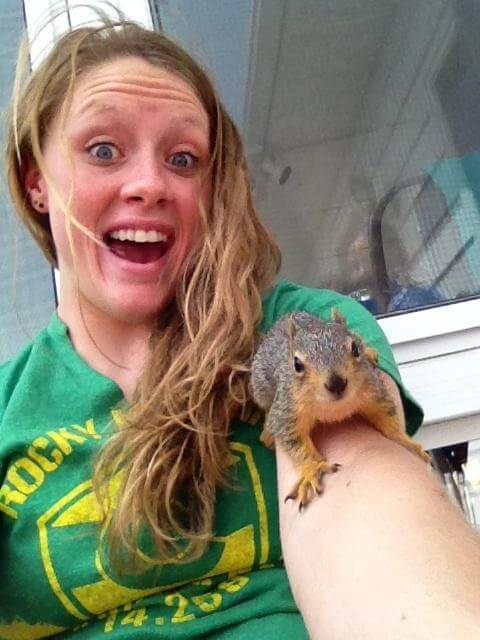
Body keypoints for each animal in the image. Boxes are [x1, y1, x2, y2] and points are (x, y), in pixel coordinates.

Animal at [250, 309, 431, 509]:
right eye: (297, 364)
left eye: (355, 349)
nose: (336, 384)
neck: (334, 407)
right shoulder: (287, 412)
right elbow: (295, 443)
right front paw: (311, 470)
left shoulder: (373, 392)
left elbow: (387, 415)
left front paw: (405, 441)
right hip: (261, 385)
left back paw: (371, 352)